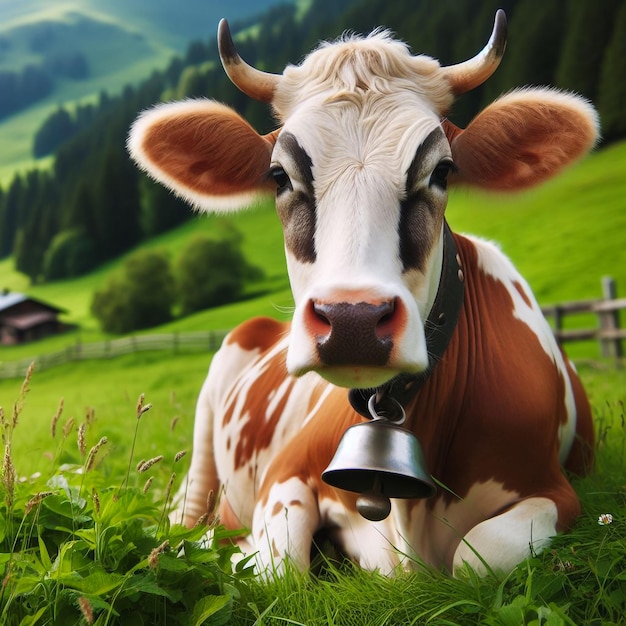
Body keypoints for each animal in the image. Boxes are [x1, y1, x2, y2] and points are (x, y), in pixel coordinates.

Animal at [125, 11, 596, 576]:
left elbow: (475, 557)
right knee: (188, 509)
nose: (352, 320)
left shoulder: (557, 492)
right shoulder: (285, 472)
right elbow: (282, 569)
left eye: (442, 171)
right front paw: (235, 549)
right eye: (279, 176)